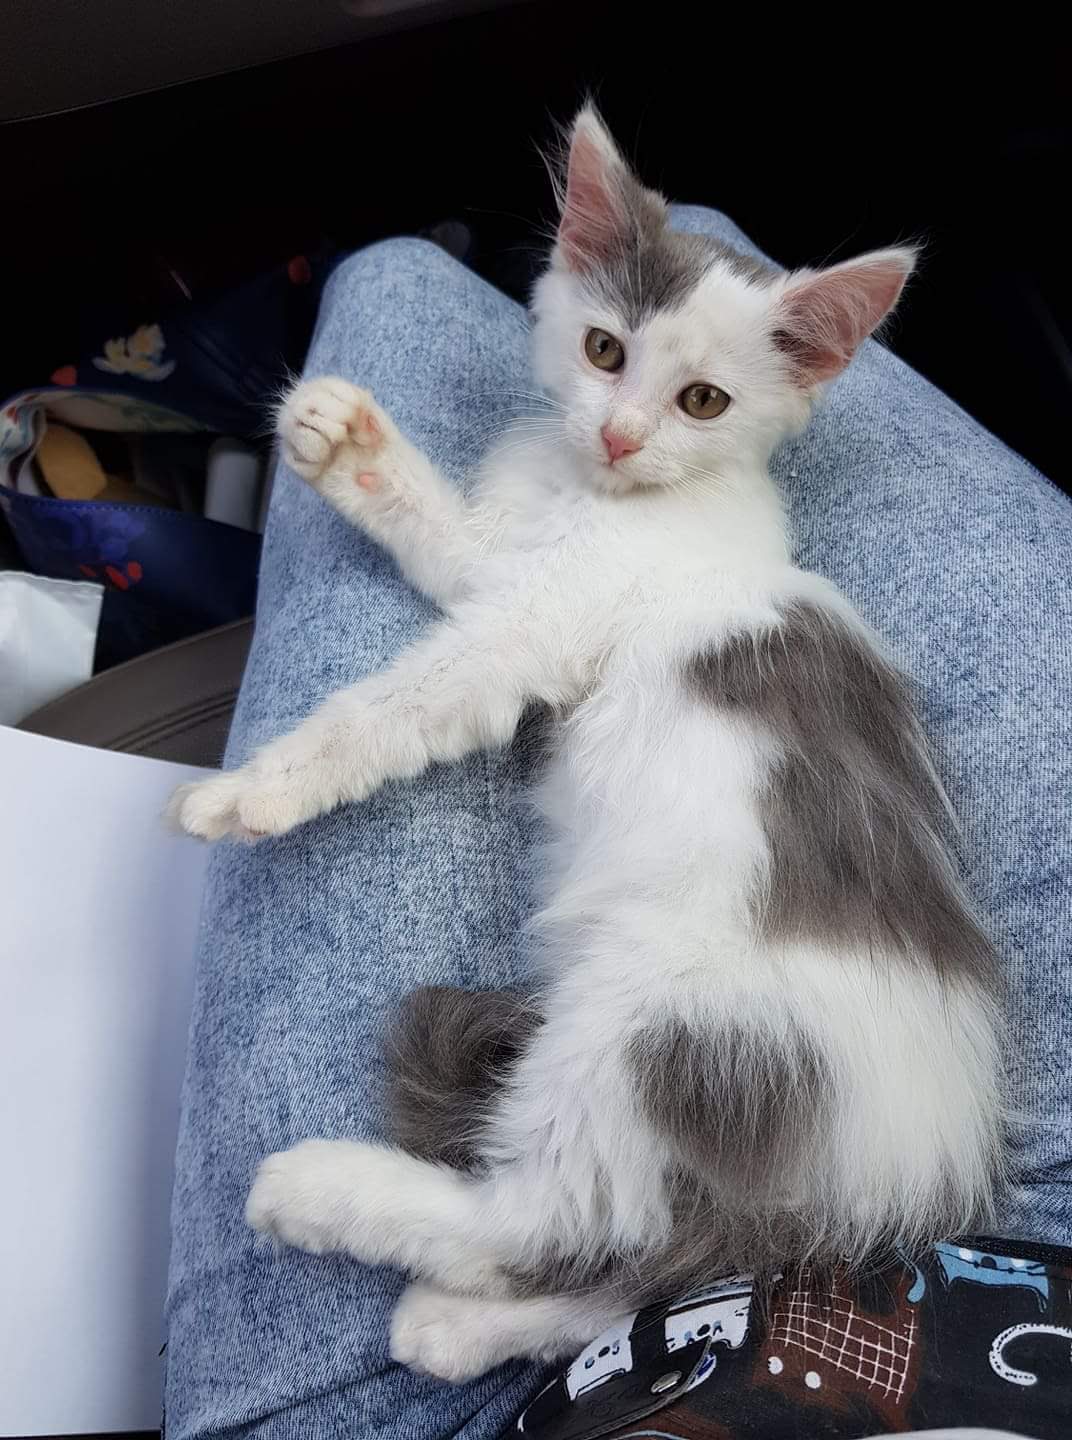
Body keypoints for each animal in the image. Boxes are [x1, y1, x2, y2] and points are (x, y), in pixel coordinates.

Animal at [170, 106, 1005, 1383]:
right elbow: (448, 542)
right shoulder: (504, 566)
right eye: (605, 351)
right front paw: (339, 437)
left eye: (703, 400)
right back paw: (452, 1329)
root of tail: (903, 1168)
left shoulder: (536, 623)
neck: (615, 500)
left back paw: (318, 1190)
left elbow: (400, 702)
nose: (615, 436)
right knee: (628, 1264)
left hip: (657, 1024)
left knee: (547, 1218)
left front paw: (254, 790)